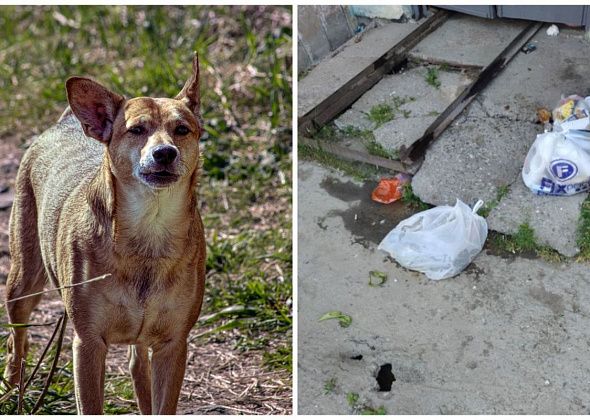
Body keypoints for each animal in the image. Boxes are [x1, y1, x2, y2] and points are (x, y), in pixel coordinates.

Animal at [1, 53, 208, 414]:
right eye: (136, 130)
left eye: (182, 129)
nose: (165, 152)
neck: (149, 230)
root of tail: (67, 122)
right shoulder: (88, 343)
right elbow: (90, 404)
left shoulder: (173, 345)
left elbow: (162, 402)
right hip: (23, 280)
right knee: (17, 342)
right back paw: (13, 391)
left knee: (137, 365)